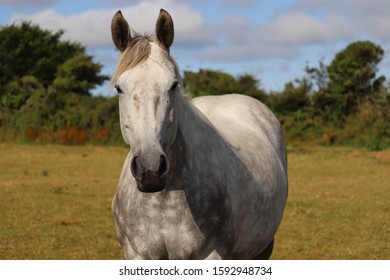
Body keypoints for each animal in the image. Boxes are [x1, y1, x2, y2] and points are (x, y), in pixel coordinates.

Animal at [109, 8, 286, 260]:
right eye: (119, 88)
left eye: (174, 85)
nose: (150, 170)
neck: (163, 200)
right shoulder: (137, 254)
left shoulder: (210, 254)